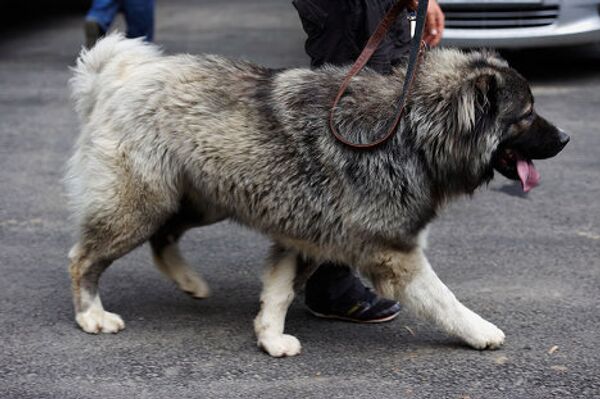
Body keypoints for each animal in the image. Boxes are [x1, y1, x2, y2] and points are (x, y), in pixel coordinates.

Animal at [64, 34, 568, 358]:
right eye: (526, 115)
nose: (565, 138)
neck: (412, 131)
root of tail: (117, 76)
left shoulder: (308, 234)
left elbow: (280, 290)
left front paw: (269, 336)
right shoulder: (392, 252)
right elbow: (443, 299)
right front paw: (479, 330)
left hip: (198, 198)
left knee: (164, 238)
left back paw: (189, 282)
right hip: (141, 203)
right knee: (83, 259)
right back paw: (92, 315)